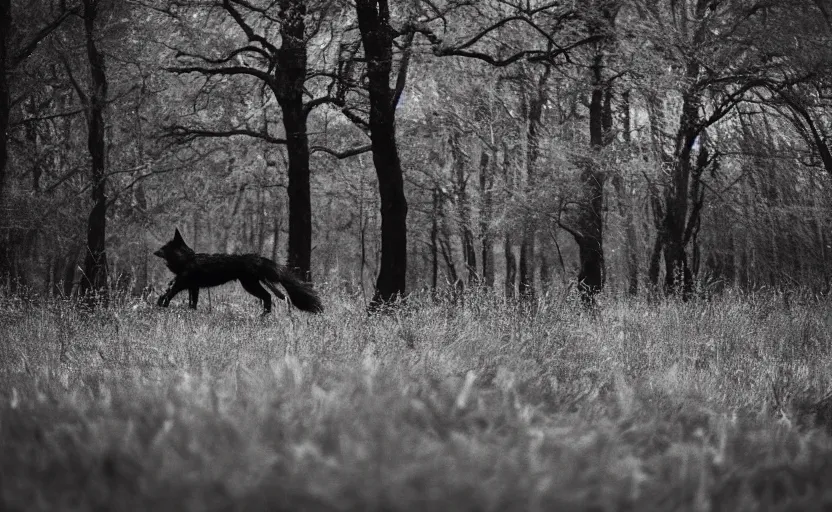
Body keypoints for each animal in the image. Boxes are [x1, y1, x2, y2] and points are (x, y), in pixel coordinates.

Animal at [154, 229, 324, 316]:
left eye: (164, 248)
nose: (154, 252)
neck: (187, 259)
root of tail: (257, 258)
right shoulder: (193, 287)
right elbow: (192, 304)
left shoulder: (182, 283)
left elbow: (168, 295)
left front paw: (162, 308)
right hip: (255, 284)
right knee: (274, 297)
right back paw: (265, 316)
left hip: (249, 285)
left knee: (268, 297)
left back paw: (263, 316)